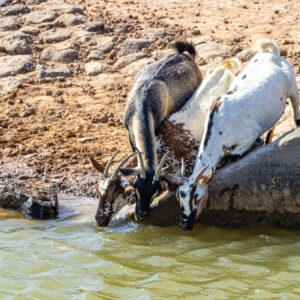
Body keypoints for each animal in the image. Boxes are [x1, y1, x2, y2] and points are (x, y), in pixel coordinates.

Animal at [176, 39, 300, 232]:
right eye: (179, 199)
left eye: (196, 197)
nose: (183, 225)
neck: (218, 125)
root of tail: (271, 53)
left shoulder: (250, 133)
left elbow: (235, 154)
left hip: (292, 85)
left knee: (295, 102)